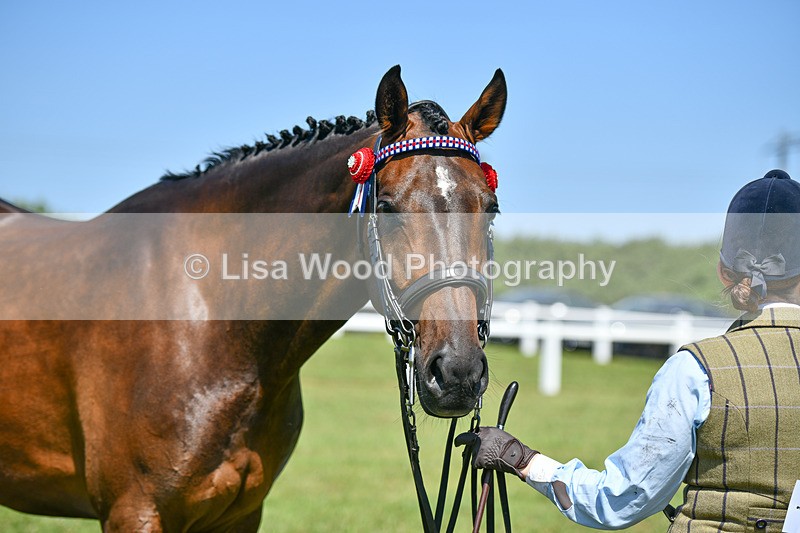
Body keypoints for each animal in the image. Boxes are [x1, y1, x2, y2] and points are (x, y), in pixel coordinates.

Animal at [0, 65, 507, 531]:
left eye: (491, 208)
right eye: (386, 208)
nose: (458, 371)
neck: (211, 321)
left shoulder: (240, 513)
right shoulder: (134, 510)